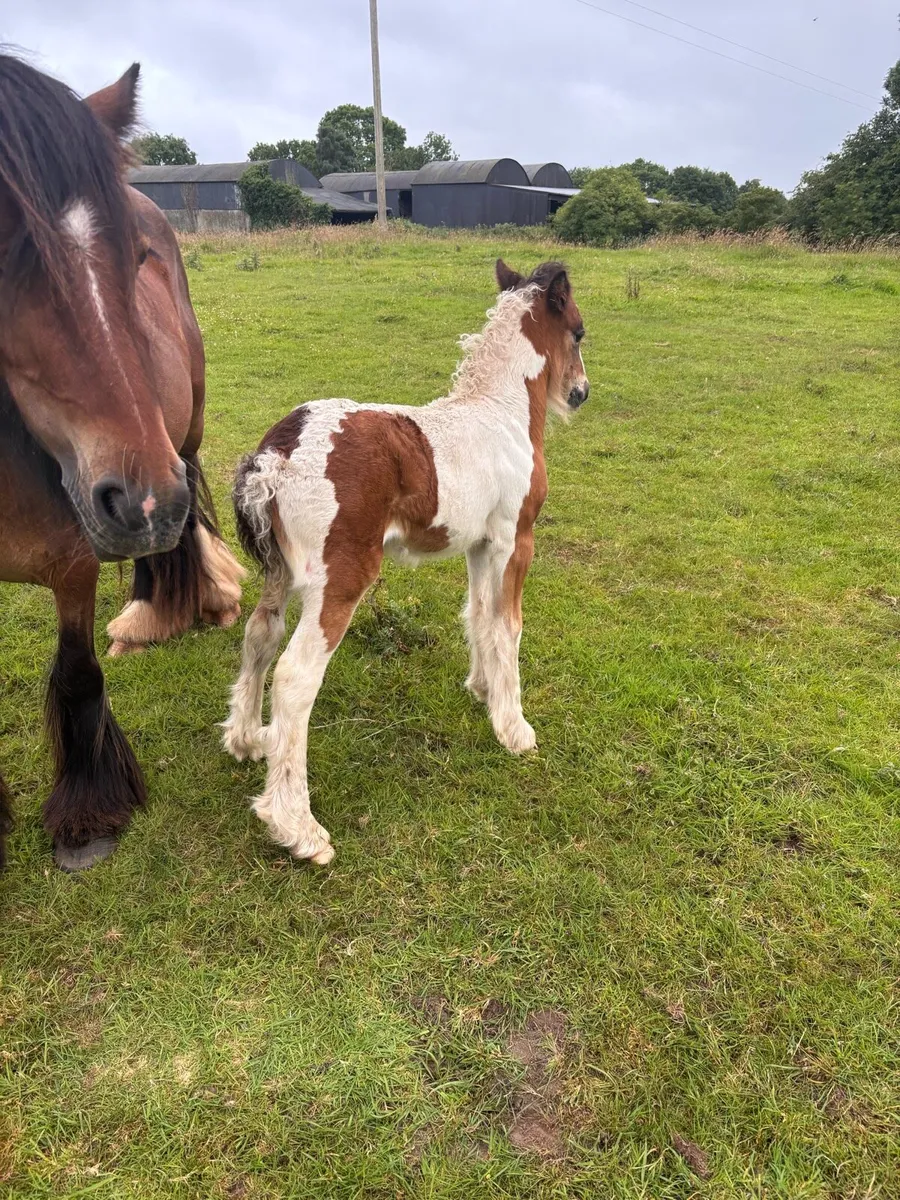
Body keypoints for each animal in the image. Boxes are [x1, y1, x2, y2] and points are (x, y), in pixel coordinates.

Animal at [0, 55, 244, 870]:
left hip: (179, 440)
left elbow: (78, 674)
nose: (141, 501)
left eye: (134, 261)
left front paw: (87, 817)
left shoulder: (75, 556)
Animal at [222, 259, 589, 865]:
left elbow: (478, 617)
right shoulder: (516, 540)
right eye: (579, 332)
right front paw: (515, 730)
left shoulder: (478, 545)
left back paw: (247, 739)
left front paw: (483, 691)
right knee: (295, 676)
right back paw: (298, 827)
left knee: (259, 636)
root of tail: (277, 452)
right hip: (342, 577)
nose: (582, 391)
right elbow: (508, 625)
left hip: (278, 572)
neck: (501, 412)